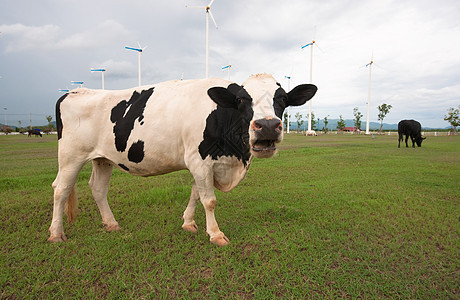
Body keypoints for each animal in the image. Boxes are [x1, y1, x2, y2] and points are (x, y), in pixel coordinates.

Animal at [48, 74, 318, 245]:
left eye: (282, 99)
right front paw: (215, 234)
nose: (268, 126)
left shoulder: (204, 164)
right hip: (71, 156)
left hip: (103, 158)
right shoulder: (199, 160)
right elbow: (209, 200)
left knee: (98, 189)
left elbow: (196, 194)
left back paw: (111, 224)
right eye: (242, 100)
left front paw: (188, 223)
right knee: (61, 189)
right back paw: (56, 234)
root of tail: (73, 92)